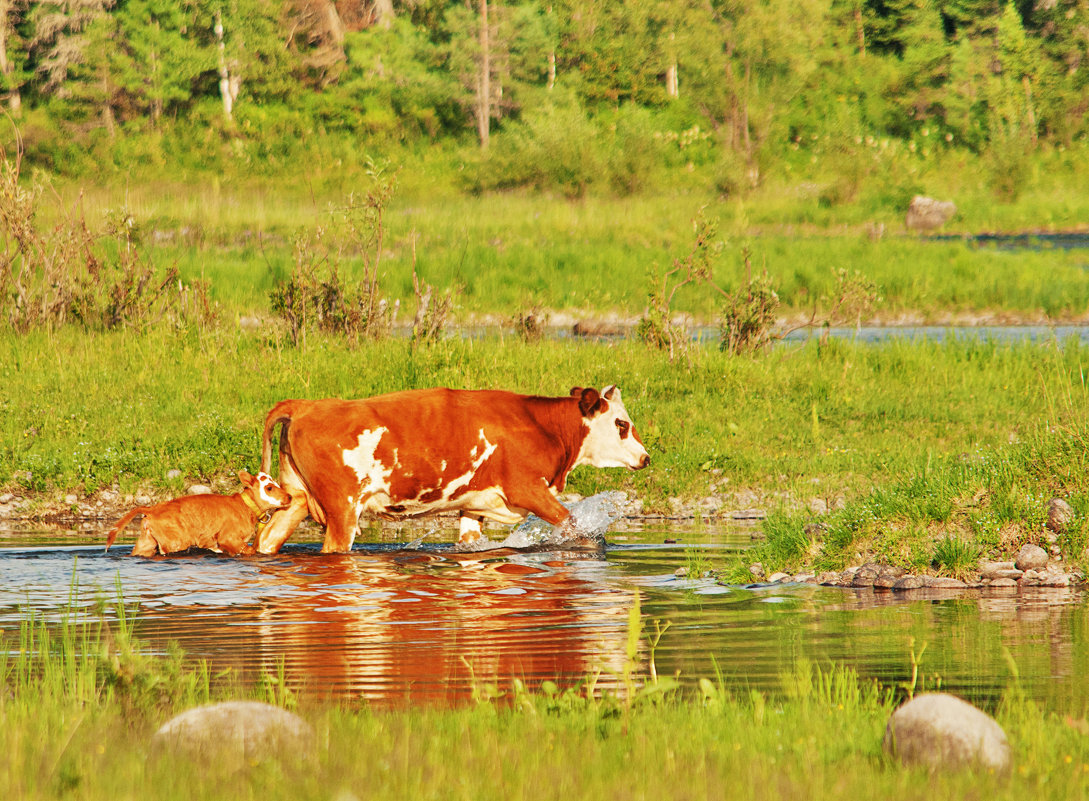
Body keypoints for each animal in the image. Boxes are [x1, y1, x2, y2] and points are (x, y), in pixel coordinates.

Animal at [254, 385, 644, 552]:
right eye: (622, 424)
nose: (646, 457)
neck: (540, 425)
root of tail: (307, 404)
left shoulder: (474, 506)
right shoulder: (529, 490)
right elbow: (575, 526)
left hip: (296, 499)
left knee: (266, 540)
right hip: (343, 510)